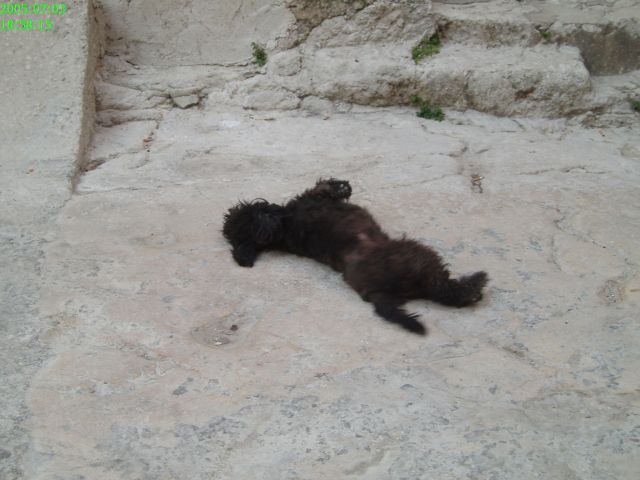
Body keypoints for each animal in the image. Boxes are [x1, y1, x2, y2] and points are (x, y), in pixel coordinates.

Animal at [222, 178, 488, 335]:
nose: (265, 205)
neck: (283, 229)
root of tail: (375, 292)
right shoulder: (316, 197)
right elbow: (323, 187)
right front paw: (342, 186)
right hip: (419, 256)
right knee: (443, 289)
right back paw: (474, 285)